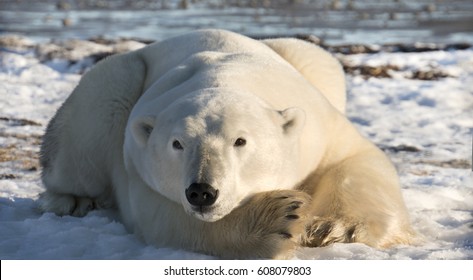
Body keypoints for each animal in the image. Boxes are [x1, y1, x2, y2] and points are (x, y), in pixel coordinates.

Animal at [38, 29, 412, 260]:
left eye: (240, 141)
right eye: (177, 143)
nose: (202, 192)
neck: (225, 76)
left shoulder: (318, 125)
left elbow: (355, 159)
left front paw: (335, 228)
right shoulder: (138, 164)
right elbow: (165, 216)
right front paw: (280, 218)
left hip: (312, 62)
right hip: (114, 87)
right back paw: (69, 200)